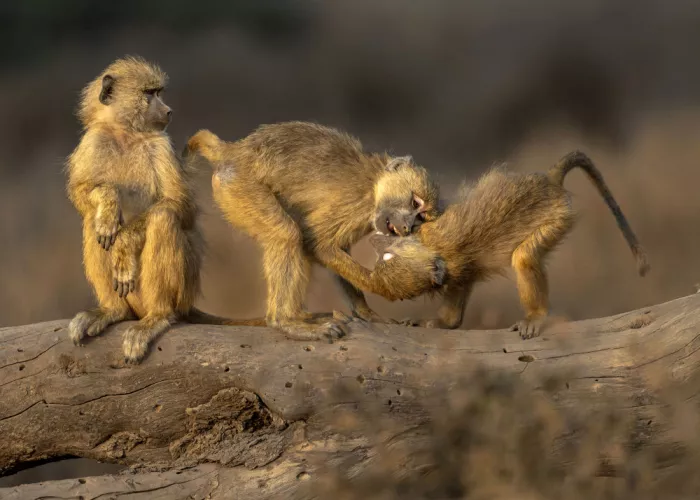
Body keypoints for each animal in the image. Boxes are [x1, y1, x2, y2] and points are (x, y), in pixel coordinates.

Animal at [65, 56, 265, 364]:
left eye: (159, 92)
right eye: (149, 93)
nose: (168, 111)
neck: (127, 134)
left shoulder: (161, 145)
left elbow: (180, 207)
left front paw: (123, 246)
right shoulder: (94, 140)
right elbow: (81, 194)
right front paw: (109, 205)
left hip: (181, 291)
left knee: (162, 218)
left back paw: (157, 317)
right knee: (92, 222)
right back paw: (112, 310)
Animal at [183, 121, 444, 340]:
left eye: (420, 218)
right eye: (415, 203)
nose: (406, 227)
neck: (375, 181)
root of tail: (233, 151)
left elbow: (336, 249)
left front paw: (368, 313)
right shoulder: (356, 203)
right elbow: (318, 244)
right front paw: (389, 286)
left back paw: (300, 316)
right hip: (238, 186)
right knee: (287, 234)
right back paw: (285, 322)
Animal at [367, 150, 650, 339]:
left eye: (387, 256)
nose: (375, 241)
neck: (432, 247)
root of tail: (549, 180)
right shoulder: (457, 269)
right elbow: (458, 296)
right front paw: (441, 322)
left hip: (556, 216)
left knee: (524, 257)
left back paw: (536, 316)